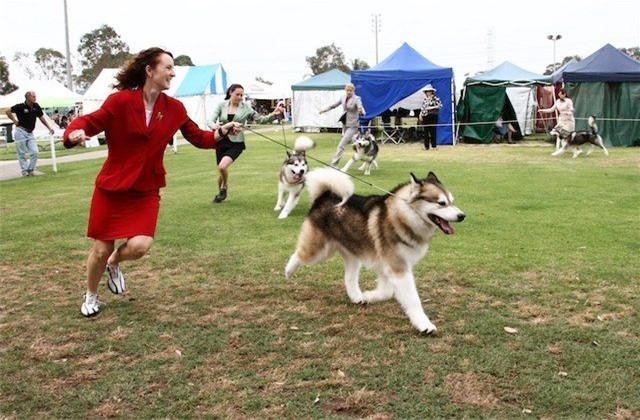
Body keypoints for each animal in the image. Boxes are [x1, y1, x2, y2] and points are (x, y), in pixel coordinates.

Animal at [284, 167, 464, 334]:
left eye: (452, 201)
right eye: (441, 203)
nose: (462, 216)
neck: (403, 216)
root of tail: (325, 195)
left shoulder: (389, 267)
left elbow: (387, 292)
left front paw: (368, 296)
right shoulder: (398, 268)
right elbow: (412, 299)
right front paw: (424, 324)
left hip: (352, 253)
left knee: (349, 278)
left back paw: (357, 297)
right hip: (319, 251)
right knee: (299, 254)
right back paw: (288, 271)